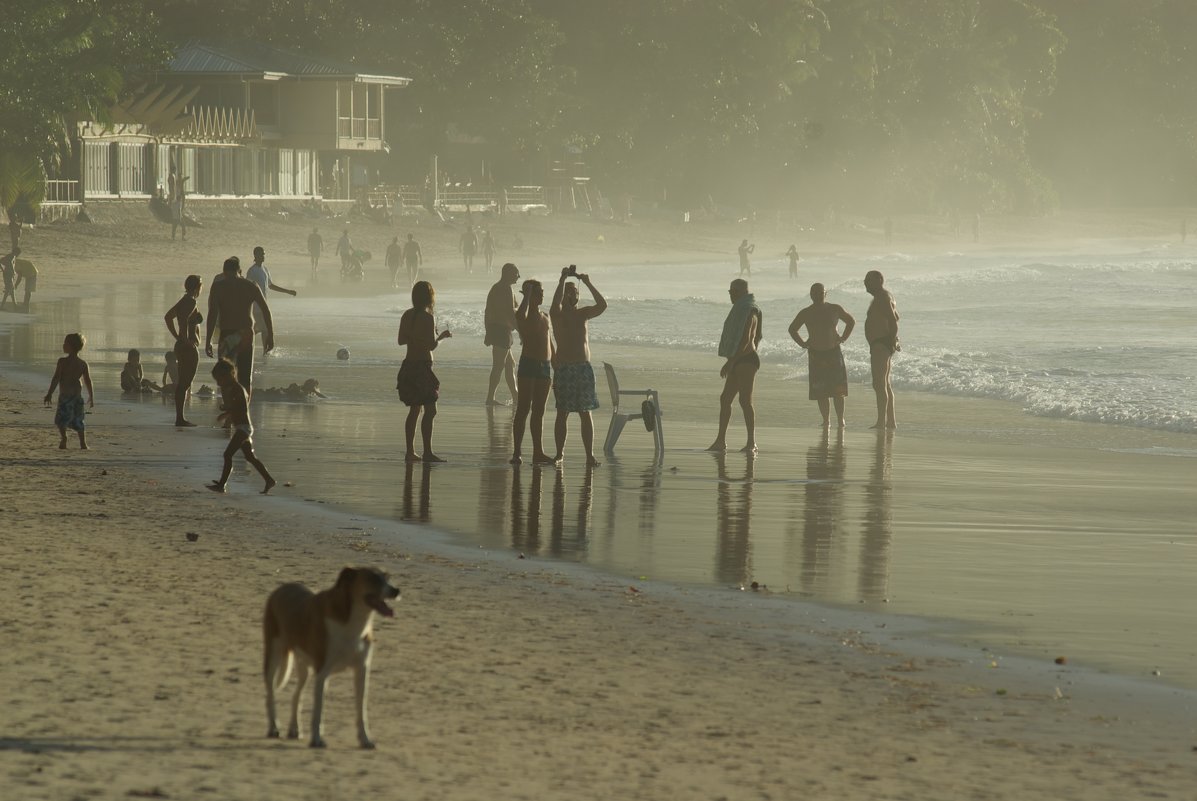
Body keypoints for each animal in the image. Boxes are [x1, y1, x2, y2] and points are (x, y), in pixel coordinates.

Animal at [260, 565, 399, 747]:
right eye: (373, 578)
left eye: (387, 576)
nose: (396, 590)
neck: (351, 620)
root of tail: (281, 588)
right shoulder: (322, 672)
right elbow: (318, 709)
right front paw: (317, 739)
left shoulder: (362, 670)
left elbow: (361, 709)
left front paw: (365, 739)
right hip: (273, 653)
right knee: (270, 691)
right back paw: (274, 727)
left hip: (304, 665)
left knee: (296, 694)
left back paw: (294, 729)